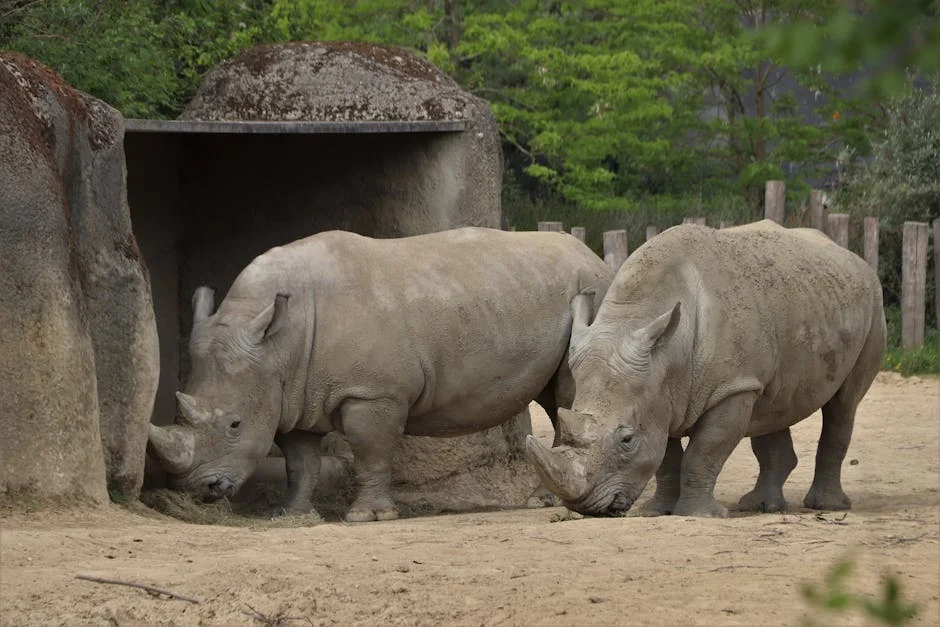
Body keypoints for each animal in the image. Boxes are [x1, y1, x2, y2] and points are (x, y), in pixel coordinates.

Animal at [148, 227, 612, 522]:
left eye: (234, 424)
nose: (199, 488)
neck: (277, 345)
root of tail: (594, 257)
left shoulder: (371, 392)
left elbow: (369, 450)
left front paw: (368, 516)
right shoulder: (294, 393)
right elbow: (300, 461)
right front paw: (291, 515)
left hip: (591, 293)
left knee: (568, 394)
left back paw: (544, 504)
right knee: (554, 398)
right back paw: (544, 501)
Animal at [526, 220, 886, 518]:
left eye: (627, 439)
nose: (585, 507)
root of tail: (852, 256)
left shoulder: (730, 388)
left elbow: (705, 451)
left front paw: (700, 515)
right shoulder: (659, 394)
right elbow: (666, 457)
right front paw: (657, 511)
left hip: (872, 302)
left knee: (844, 404)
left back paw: (825, 506)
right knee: (774, 403)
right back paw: (761, 506)